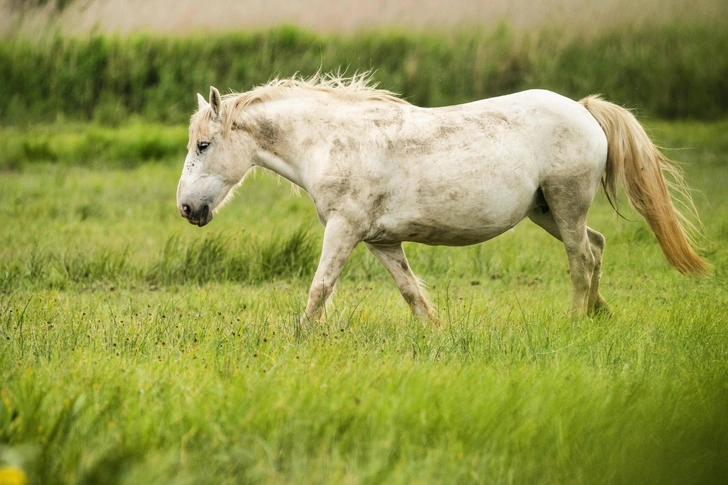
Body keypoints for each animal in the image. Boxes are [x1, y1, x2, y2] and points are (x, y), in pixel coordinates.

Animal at [175, 73, 704, 322]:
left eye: (203, 145)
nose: (187, 209)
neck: (331, 141)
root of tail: (584, 109)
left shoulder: (343, 230)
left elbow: (319, 289)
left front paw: (301, 338)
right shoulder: (380, 242)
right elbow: (411, 292)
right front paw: (437, 331)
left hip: (566, 205)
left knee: (581, 259)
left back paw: (576, 319)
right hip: (545, 212)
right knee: (596, 247)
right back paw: (598, 313)